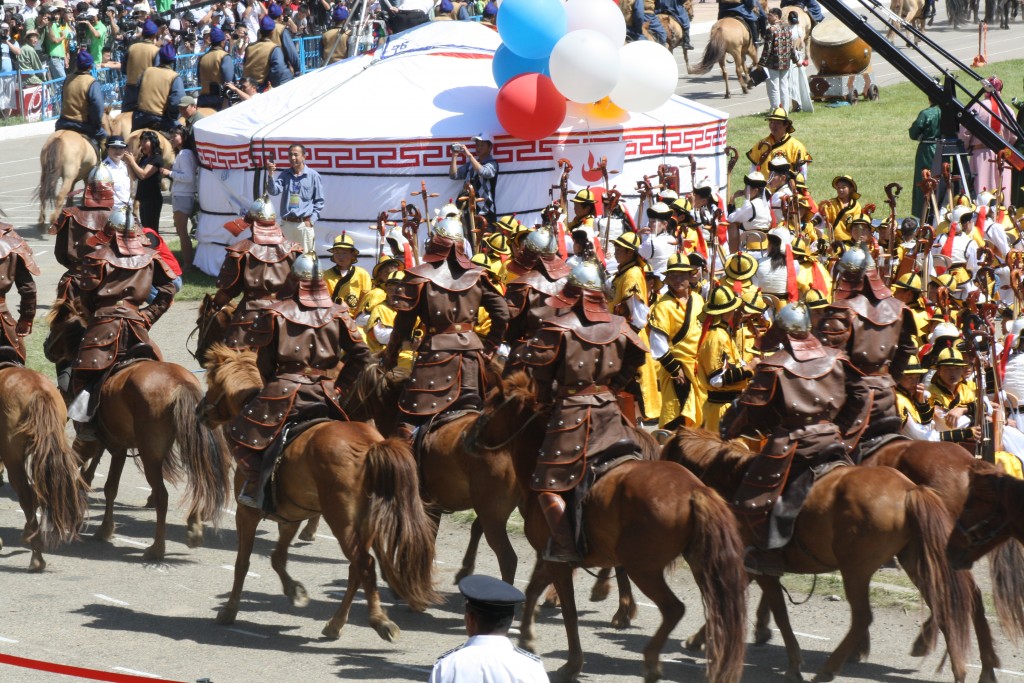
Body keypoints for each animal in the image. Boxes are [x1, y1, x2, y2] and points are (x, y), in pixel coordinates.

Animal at [44, 296, 232, 561]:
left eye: (56, 326)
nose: (46, 346)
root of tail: (180, 384)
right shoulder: (118, 447)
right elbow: (109, 486)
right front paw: (103, 527)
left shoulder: (96, 443)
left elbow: (89, 475)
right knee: (200, 479)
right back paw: (194, 527)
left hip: (150, 454)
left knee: (163, 496)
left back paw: (157, 548)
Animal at [199, 348, 440, 643]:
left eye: (212, 383)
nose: (201, 411)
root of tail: (371, 446)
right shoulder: (291, 516)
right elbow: (277, 557)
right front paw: (295, 592)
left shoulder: (246, 513)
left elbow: (242, 563)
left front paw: (229, 610)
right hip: (364, 524)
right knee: (356, 570)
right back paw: (336, 624)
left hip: (343, 523)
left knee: (365, 564)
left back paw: (380, 621)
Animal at [487, 374, 745, 683]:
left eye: (492, 404)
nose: (469, 437)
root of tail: (696, 490)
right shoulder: (552, 557)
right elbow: (534, 589)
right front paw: (527, 635)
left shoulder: (558, 560)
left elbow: (568, 610)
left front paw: (571, 664)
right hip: (697, 563)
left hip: (643, 568)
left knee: (674, 608)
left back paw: (651, 660)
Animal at [663, 430, 974, 683]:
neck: (736, 482)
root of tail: (910, 490)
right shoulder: (756, 569)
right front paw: (700, 639)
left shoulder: (758, 567)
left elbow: (779, 613)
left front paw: (793, 663)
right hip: (913, 561)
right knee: (946, 603)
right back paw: (957, 667)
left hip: (856, 570)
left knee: (863, 617)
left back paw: (829, 668)